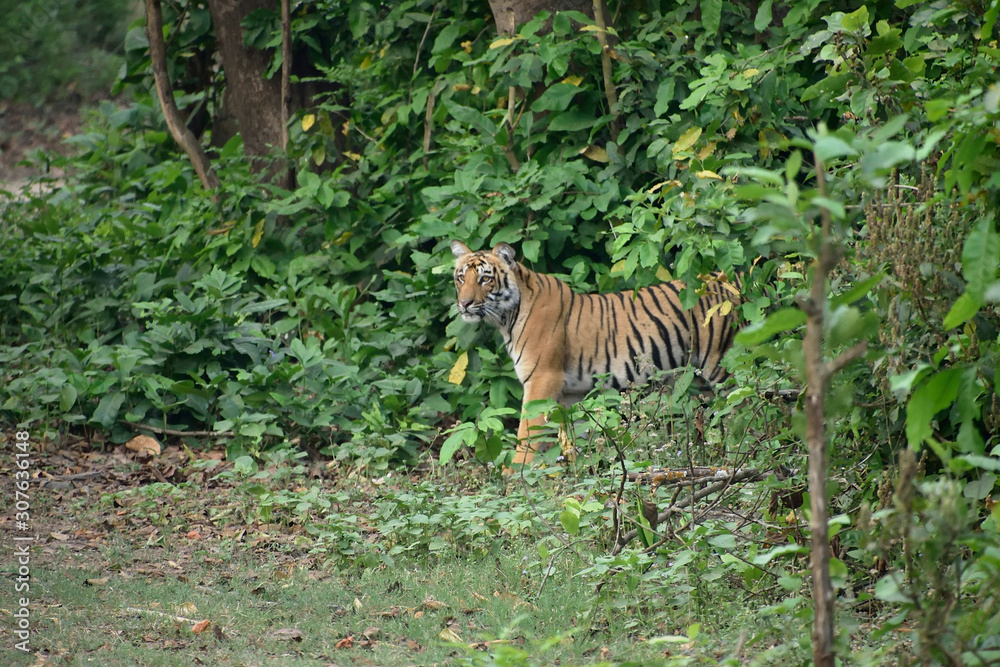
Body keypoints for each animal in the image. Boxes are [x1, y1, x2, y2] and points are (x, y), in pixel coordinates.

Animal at [450, 240, 741, 466]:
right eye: (461, 277)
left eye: (485, 279)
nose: (463, 304)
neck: (506, 318)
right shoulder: (571, 393)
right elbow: (572, 435)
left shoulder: (542, 380)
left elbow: (528, 435)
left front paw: (514, 476)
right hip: (703, 381)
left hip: (722, 364)